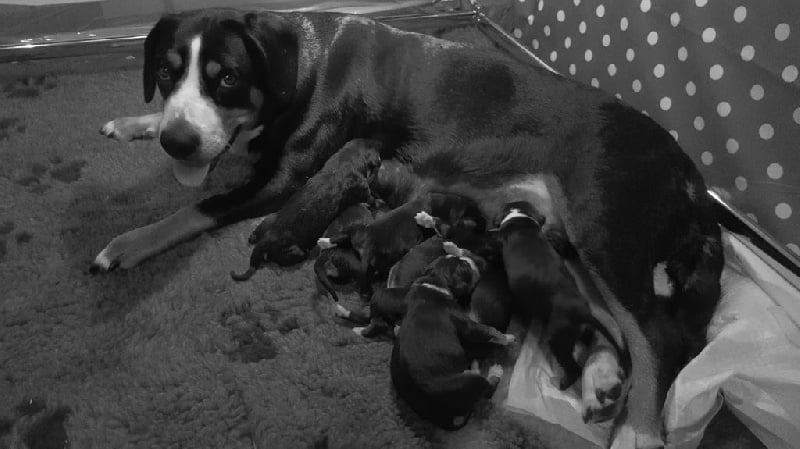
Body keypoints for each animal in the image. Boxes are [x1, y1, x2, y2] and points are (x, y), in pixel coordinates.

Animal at [390, 247, 516, 428]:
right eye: (465, 267)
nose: (471, 260)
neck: (434, 283)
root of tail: (446, 417)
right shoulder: (466, 323)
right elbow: (489, 331)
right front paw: (508, 338)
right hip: (469, 383)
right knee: (487, 389)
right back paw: (495, 371)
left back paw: (474, 365)